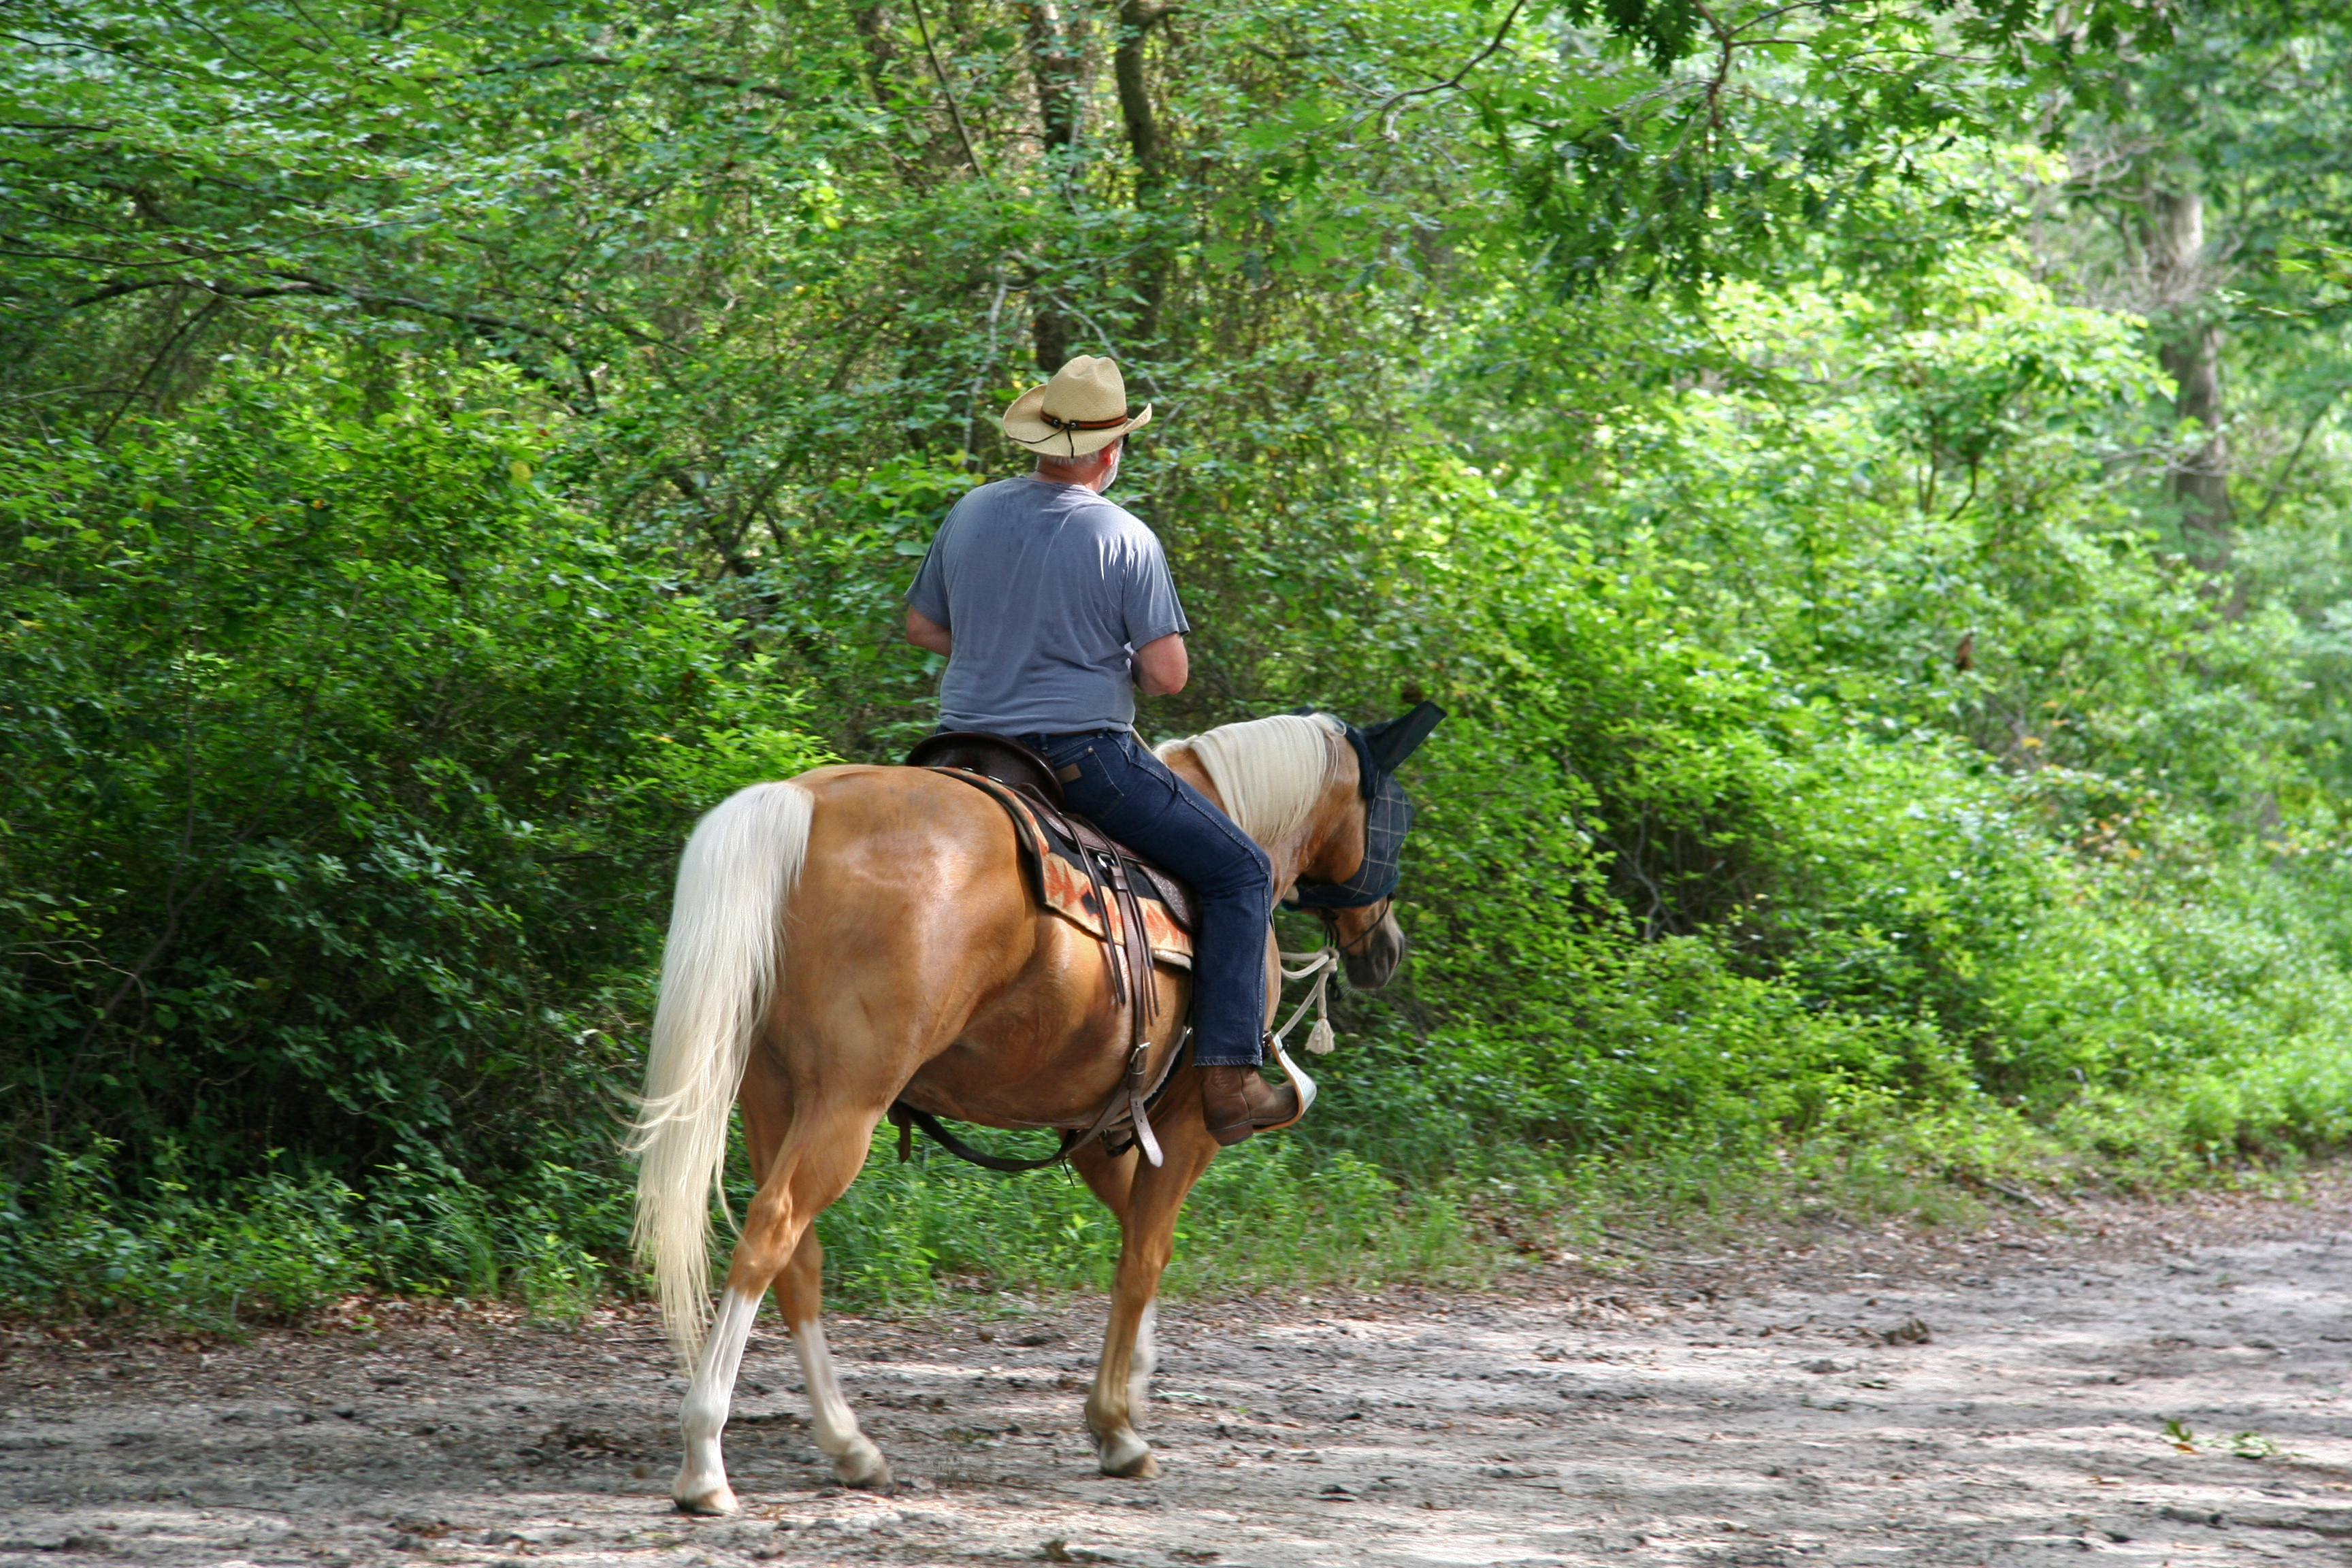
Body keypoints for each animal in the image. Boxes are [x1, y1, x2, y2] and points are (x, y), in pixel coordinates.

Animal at [625, 710, 1401, 1504]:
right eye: (1387, 814)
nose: (1386, 948)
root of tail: (800, 803)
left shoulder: (1096, 1123)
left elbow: (1133, 1229)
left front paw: (1134, 1387)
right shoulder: (1189, 1124)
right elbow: (1145, 1255)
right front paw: (1117, 1426)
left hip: (769, 1094)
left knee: (797, 1258)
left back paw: (849, 1445)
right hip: (847, 1102)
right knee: (772, 1232)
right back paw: (705, 1457)